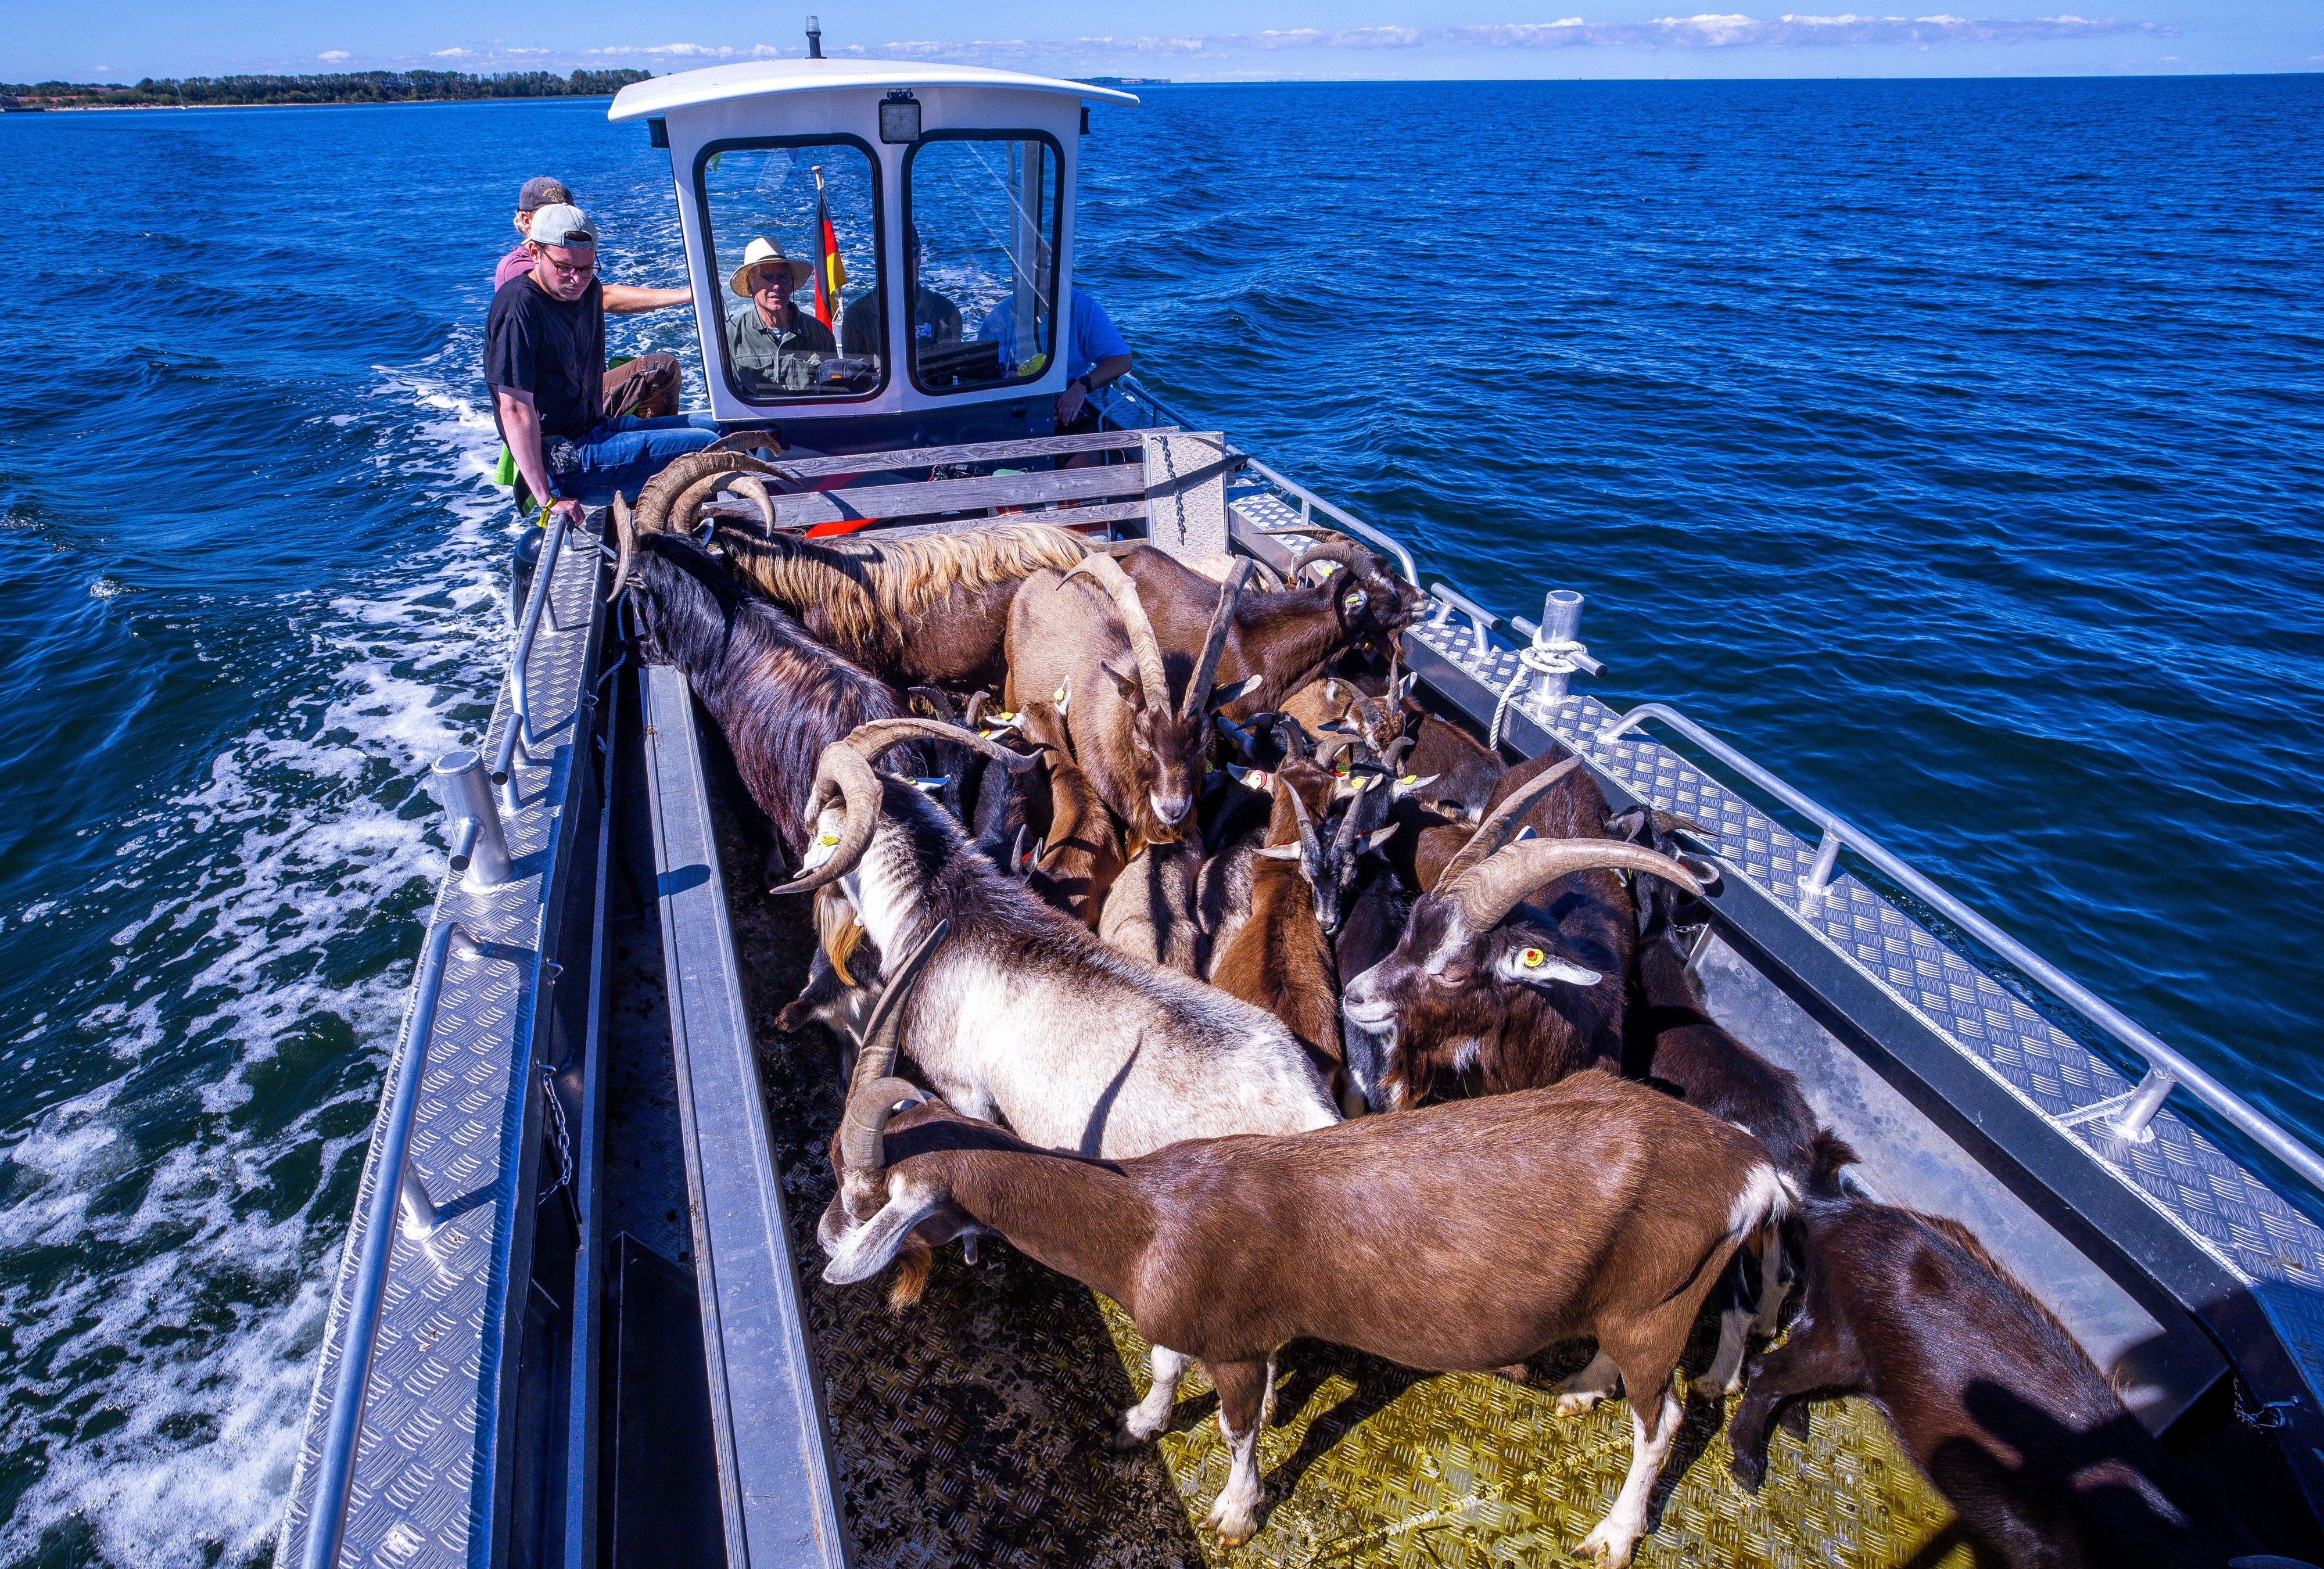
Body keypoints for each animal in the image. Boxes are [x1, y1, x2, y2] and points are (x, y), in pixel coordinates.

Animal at [822, 987, 1793, 1568]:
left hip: (1658, 1305)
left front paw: (1234, 1512)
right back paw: (1584, 1389)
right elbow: (1164, 1359)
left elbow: (1238, 1426)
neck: (1149, 1218)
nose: (829, 1238)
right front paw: (1142, 1420)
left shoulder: (1240, 1340)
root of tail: (1749, 1165)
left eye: (863, 1189)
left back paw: (1615, 1531)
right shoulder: (1182, 1311)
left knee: (1665, 1417)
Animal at [1729, 1197, 2250, 1568]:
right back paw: (1750, 1467)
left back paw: (1795, 1424)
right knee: (1768, 1371)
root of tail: (1829, 1213)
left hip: (1832, 1322)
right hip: (1842, 1335)